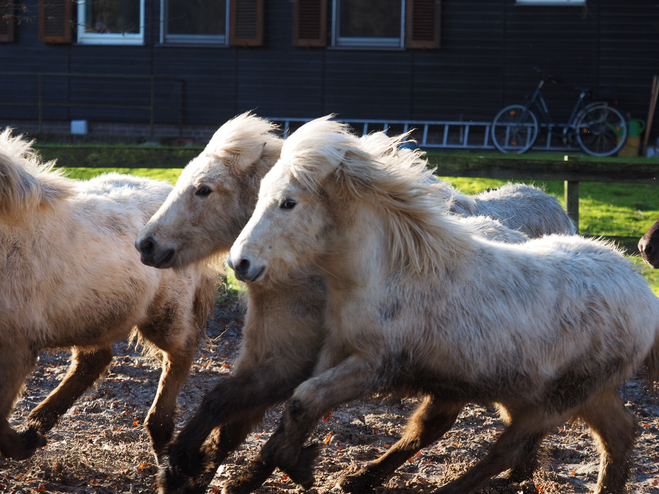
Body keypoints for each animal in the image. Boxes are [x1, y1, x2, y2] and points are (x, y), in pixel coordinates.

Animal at [0, 130, 215, 464]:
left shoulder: (16, 346)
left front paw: (20, 444)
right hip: (93, 312)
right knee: (95, 359)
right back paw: (37, 424)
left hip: (164, 315)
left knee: (180, 354)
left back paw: (160, 434)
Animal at [224, 117, 659, 494]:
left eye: (288, 203)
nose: (239, 263)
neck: (387, 272)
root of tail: (643, 293)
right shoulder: (336, 351)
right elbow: (299, 407)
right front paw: (249, 476)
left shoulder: (373, 365)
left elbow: (305, 399)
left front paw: (296, 467)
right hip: (575, 392)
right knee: (620, 434)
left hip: (555, 399)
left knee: (508, 449)